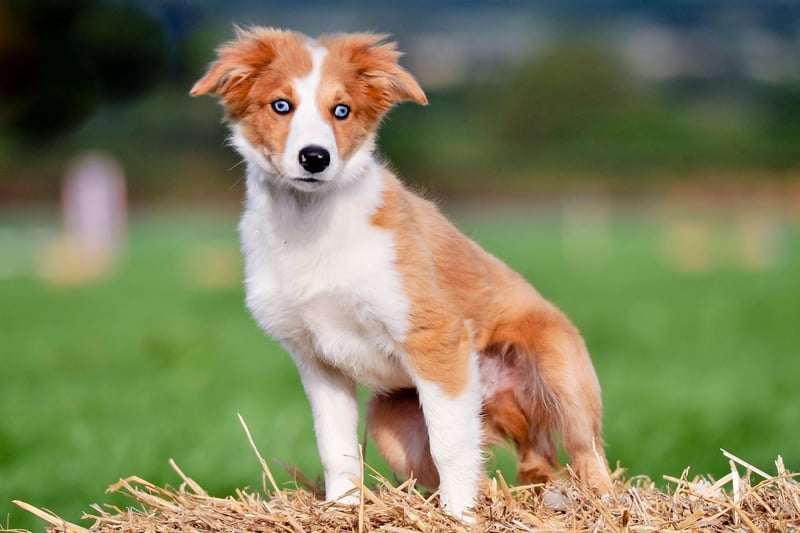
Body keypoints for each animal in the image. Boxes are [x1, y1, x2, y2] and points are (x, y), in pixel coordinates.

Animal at [192, 27, 608, 516]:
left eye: (341, 110)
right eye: (281, 105)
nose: (315, 158)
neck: (311, 226)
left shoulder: (436, 339)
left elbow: (452, 445)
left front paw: (460, 516)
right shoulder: (317, 361)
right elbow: (336, 448)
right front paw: (344, 508)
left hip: (560, 374)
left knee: (586, 453)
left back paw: (602, 503)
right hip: (394, 423)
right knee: (529, 467)